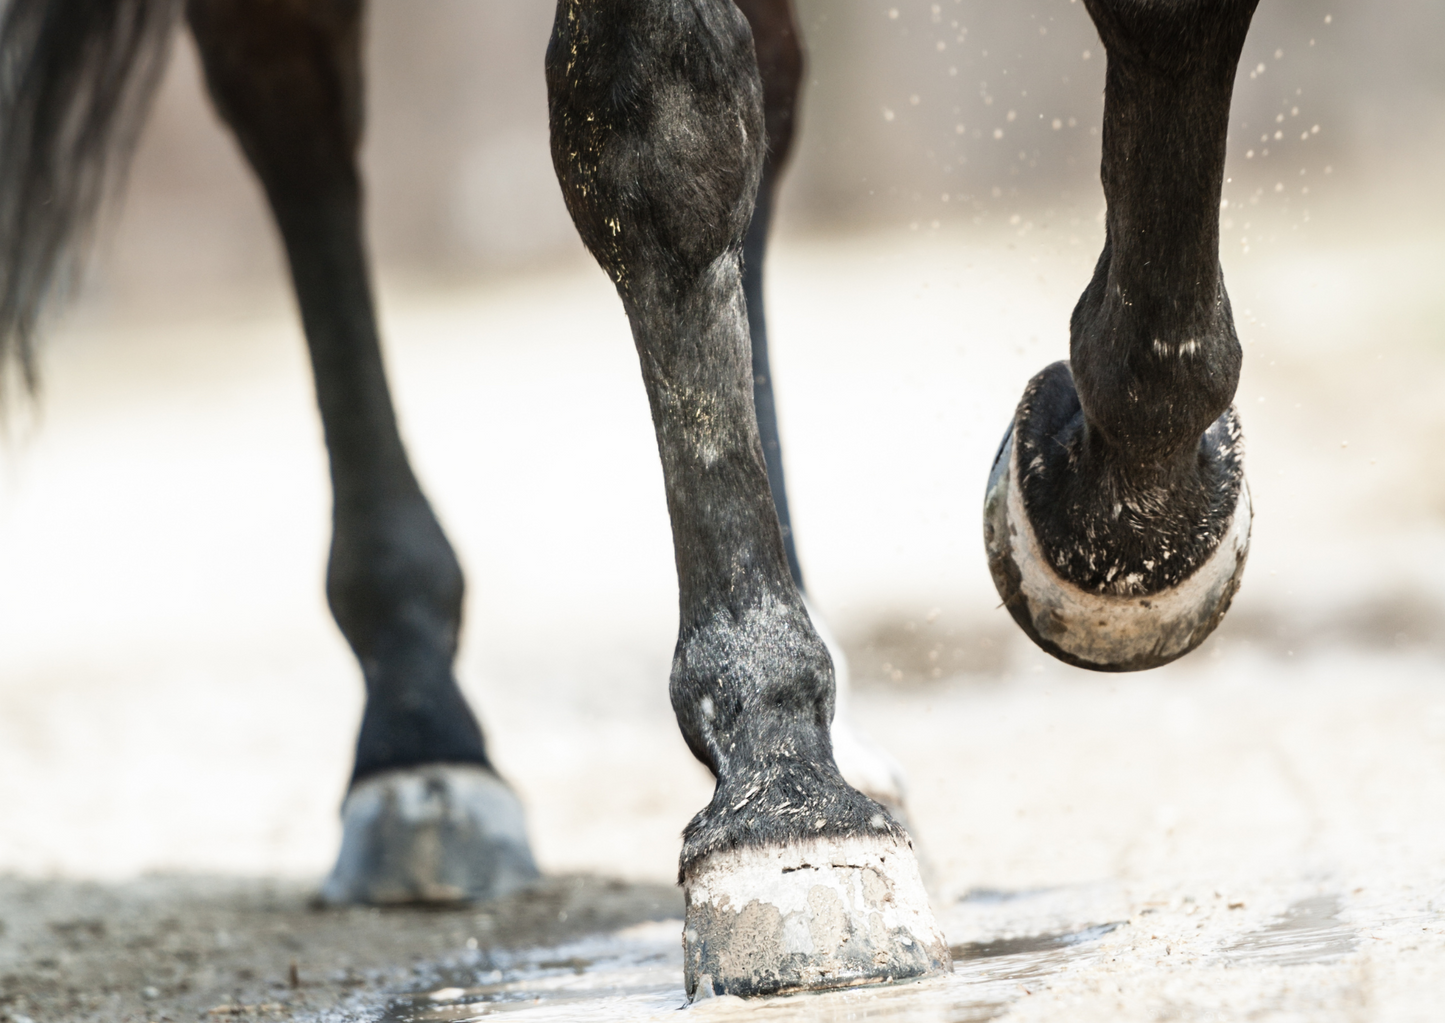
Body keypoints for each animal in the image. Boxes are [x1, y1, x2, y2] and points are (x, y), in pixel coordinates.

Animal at [0, 0, 1258, 1001]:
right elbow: (662, 123)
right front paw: (778, 789)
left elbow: (1169, 22)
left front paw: (1119, 525)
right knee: (290, 96)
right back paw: (416, 733)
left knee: (773, 90)